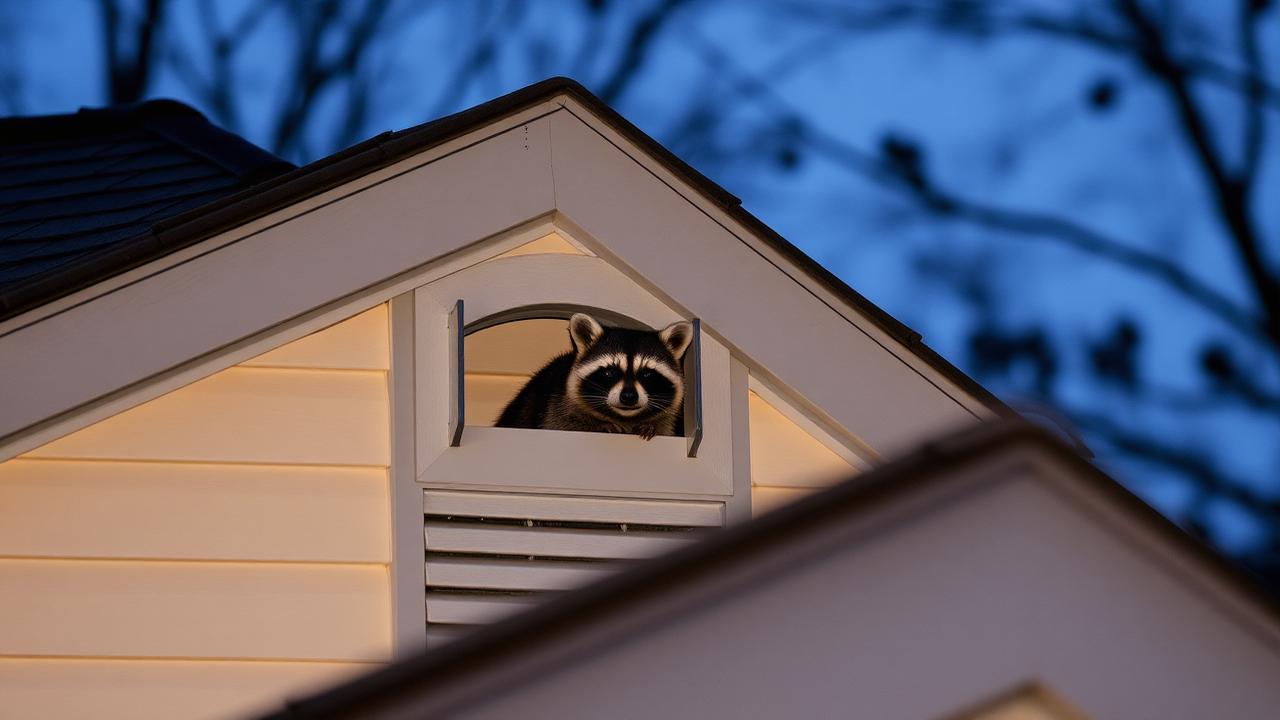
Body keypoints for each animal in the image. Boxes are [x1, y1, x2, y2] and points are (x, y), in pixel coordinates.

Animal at [495, 313, 693, 440]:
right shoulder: (555, 408)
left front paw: (650, 424)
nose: (628, 396)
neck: (624, 417)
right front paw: (600, 425)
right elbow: (565, 422)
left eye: (646, 374)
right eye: (610, 372)